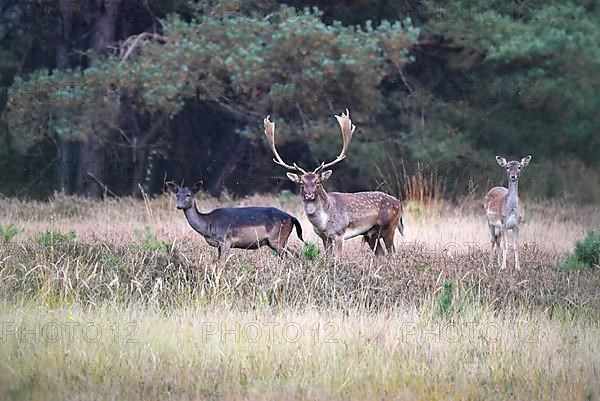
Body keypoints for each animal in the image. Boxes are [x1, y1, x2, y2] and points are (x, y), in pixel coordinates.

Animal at [165, 180, 302, 260]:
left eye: (188, 195)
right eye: (177, 195)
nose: (178, 206)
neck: (208, 225)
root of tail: (292, 218)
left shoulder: (226, 240)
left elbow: (221, 264)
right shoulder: (219, 245)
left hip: (277, 238)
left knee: (291, 256)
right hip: (279, 240)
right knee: (295, 254)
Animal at [264, 109, 406, 260]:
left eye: (318, 182)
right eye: (301, 183)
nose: (309, 195)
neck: (323, 223)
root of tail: (399, 203)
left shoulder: (339, 233)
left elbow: (337, 258)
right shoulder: (323, 237)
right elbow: (328, 257)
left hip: (389, 226)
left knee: (392, 252)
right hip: (371, 233)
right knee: (381, 253)